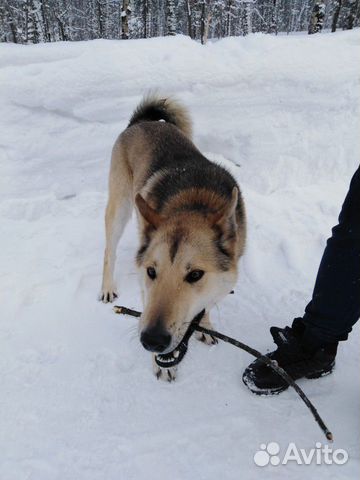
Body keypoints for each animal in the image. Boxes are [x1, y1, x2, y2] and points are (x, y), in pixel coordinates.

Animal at [99, 96, 245, 382]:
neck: (194, 203)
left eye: (196, 275)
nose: (152, 341)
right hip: (120, 207)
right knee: (109, 250)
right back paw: (107, 287)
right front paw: (162, 365)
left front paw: (205, 325)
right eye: (151, 272)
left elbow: (206, 306)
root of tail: (142, 121)